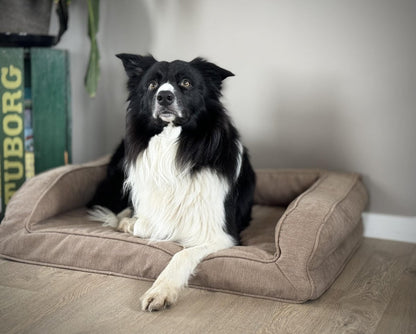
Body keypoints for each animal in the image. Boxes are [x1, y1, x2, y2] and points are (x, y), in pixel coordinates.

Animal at [89, 53, 255, 312]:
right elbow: (146, 224)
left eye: (186, 83)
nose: (164, 96)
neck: (171, 142)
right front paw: (131, 224)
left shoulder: (222, 234)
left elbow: (182, 254)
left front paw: (161, 291)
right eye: (152, 84)